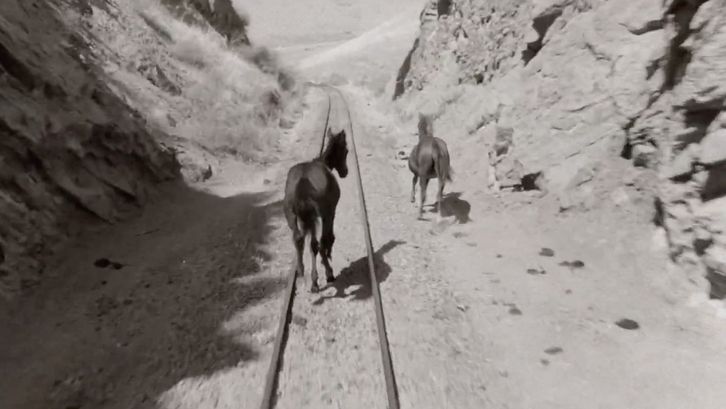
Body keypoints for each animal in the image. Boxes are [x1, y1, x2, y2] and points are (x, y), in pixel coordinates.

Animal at [283, 128, 349, 293]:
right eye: (346, 151)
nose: (345, 172)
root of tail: (302, 183)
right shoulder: (330, 212)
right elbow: (328, 239)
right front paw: (328, 265)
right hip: (319, 215)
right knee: (317, 243)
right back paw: (322, 276)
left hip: (293, 217)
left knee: (300, 240)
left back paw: (302, 274)